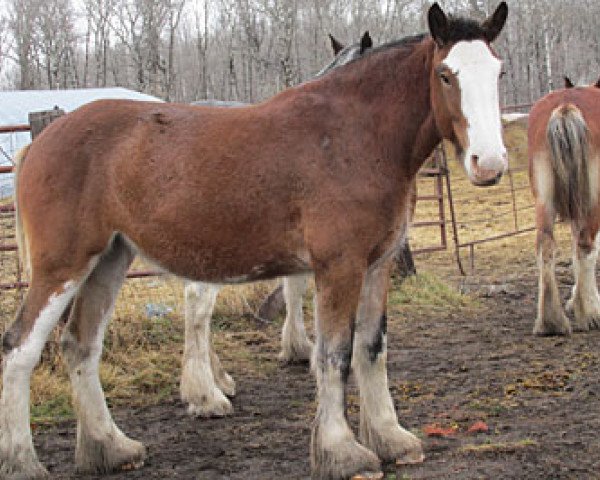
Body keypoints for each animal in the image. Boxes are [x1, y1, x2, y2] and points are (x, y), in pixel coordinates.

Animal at [528, 77, 600, 336]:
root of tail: (565, 107)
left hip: (544, 201)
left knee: (545, 246)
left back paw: (551, 322)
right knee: (586, 246)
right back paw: (591, 314)